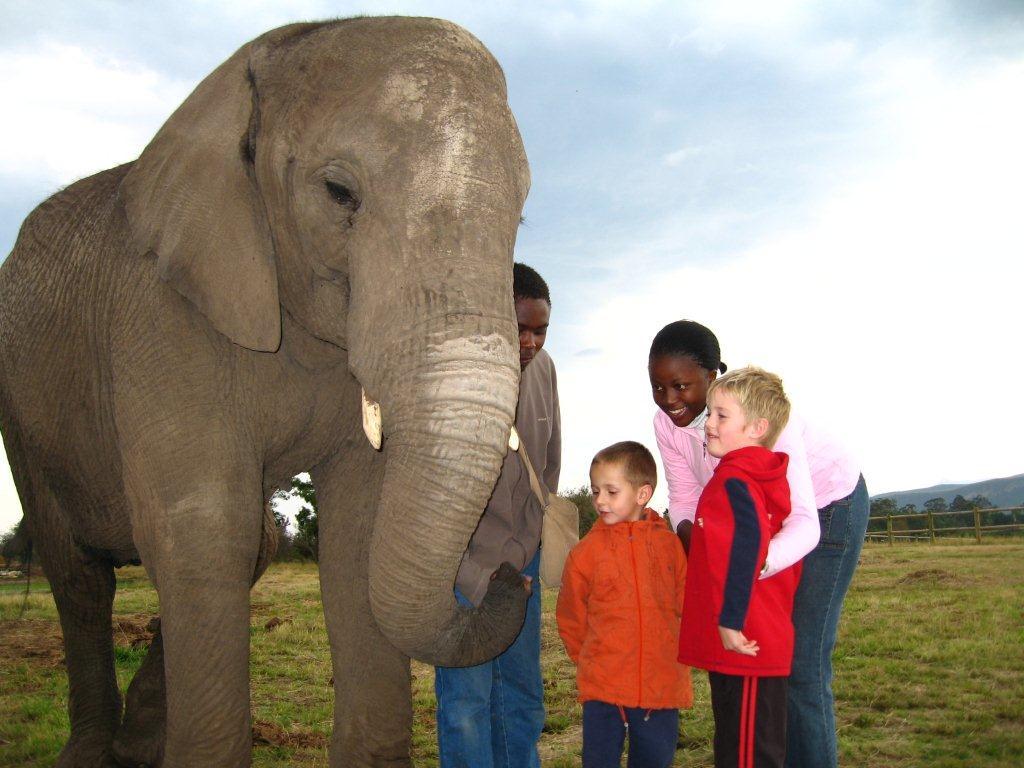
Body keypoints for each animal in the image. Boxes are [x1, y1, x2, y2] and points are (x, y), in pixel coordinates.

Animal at [2, 18, 536, 768]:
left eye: (522, 216)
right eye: (338, 193)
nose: (513, 575)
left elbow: (353, 539)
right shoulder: (159, 314)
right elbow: (202, 529)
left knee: (254, 541)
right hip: (23, 410)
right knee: (80, 574)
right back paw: (93, 753)